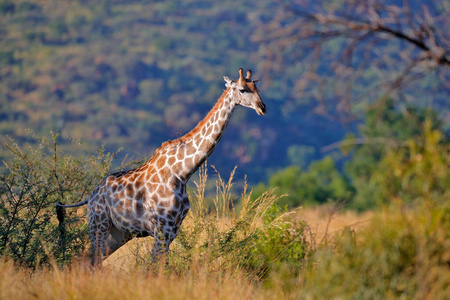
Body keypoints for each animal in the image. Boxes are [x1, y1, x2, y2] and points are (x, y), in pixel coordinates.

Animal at [57, 68, 266, 264]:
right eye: (242, 89)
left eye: (257, 88)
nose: (262, 107)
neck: (183, 173)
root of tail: (90, 197)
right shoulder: (161, 228)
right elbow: (155, 267)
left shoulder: (173, 229)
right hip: (98, 225)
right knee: (92, 261)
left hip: (117, 233)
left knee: (85, 260)